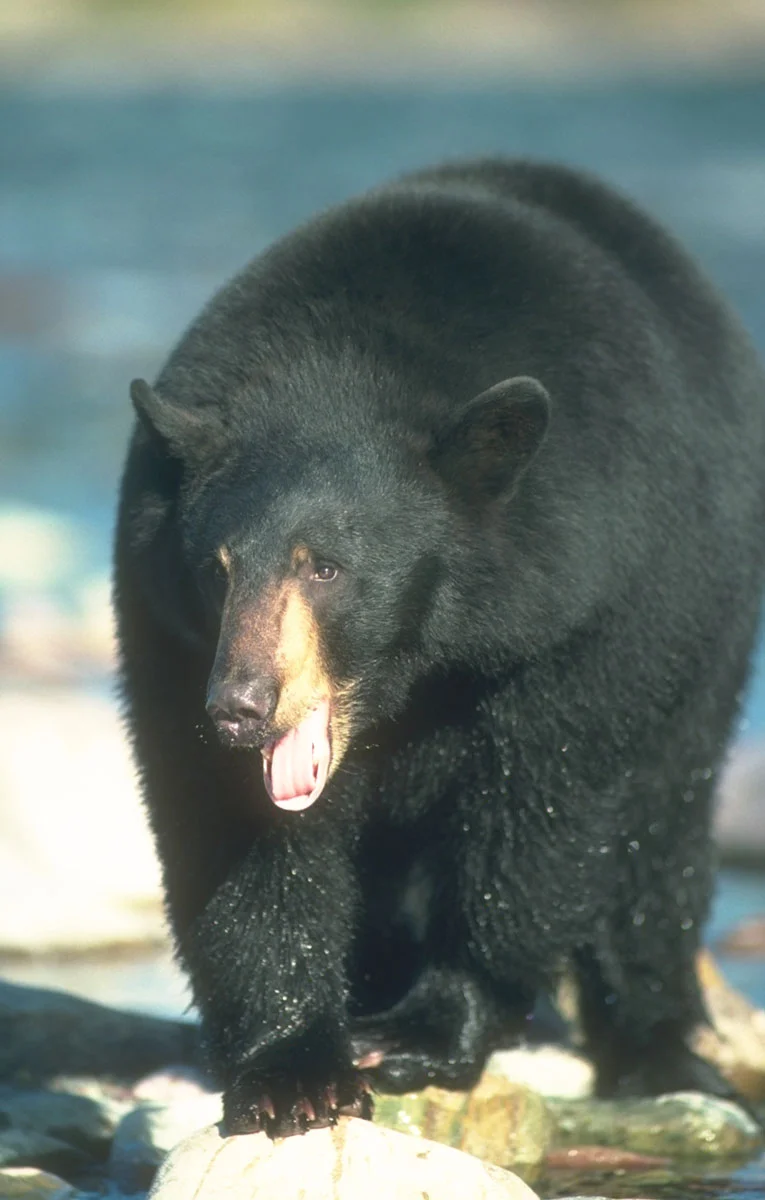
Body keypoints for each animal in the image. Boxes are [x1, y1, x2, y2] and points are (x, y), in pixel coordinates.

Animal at [114, 158, 765, 1137]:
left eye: (326, 566)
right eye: (216, 568)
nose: (239, 706)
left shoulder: (585, 604)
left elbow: (538, 815)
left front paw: (424, 1029)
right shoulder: (166, 635)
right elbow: (238, 843)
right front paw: (293, 1069)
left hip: (707, 621)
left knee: (658, 832)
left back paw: (659, 1047)